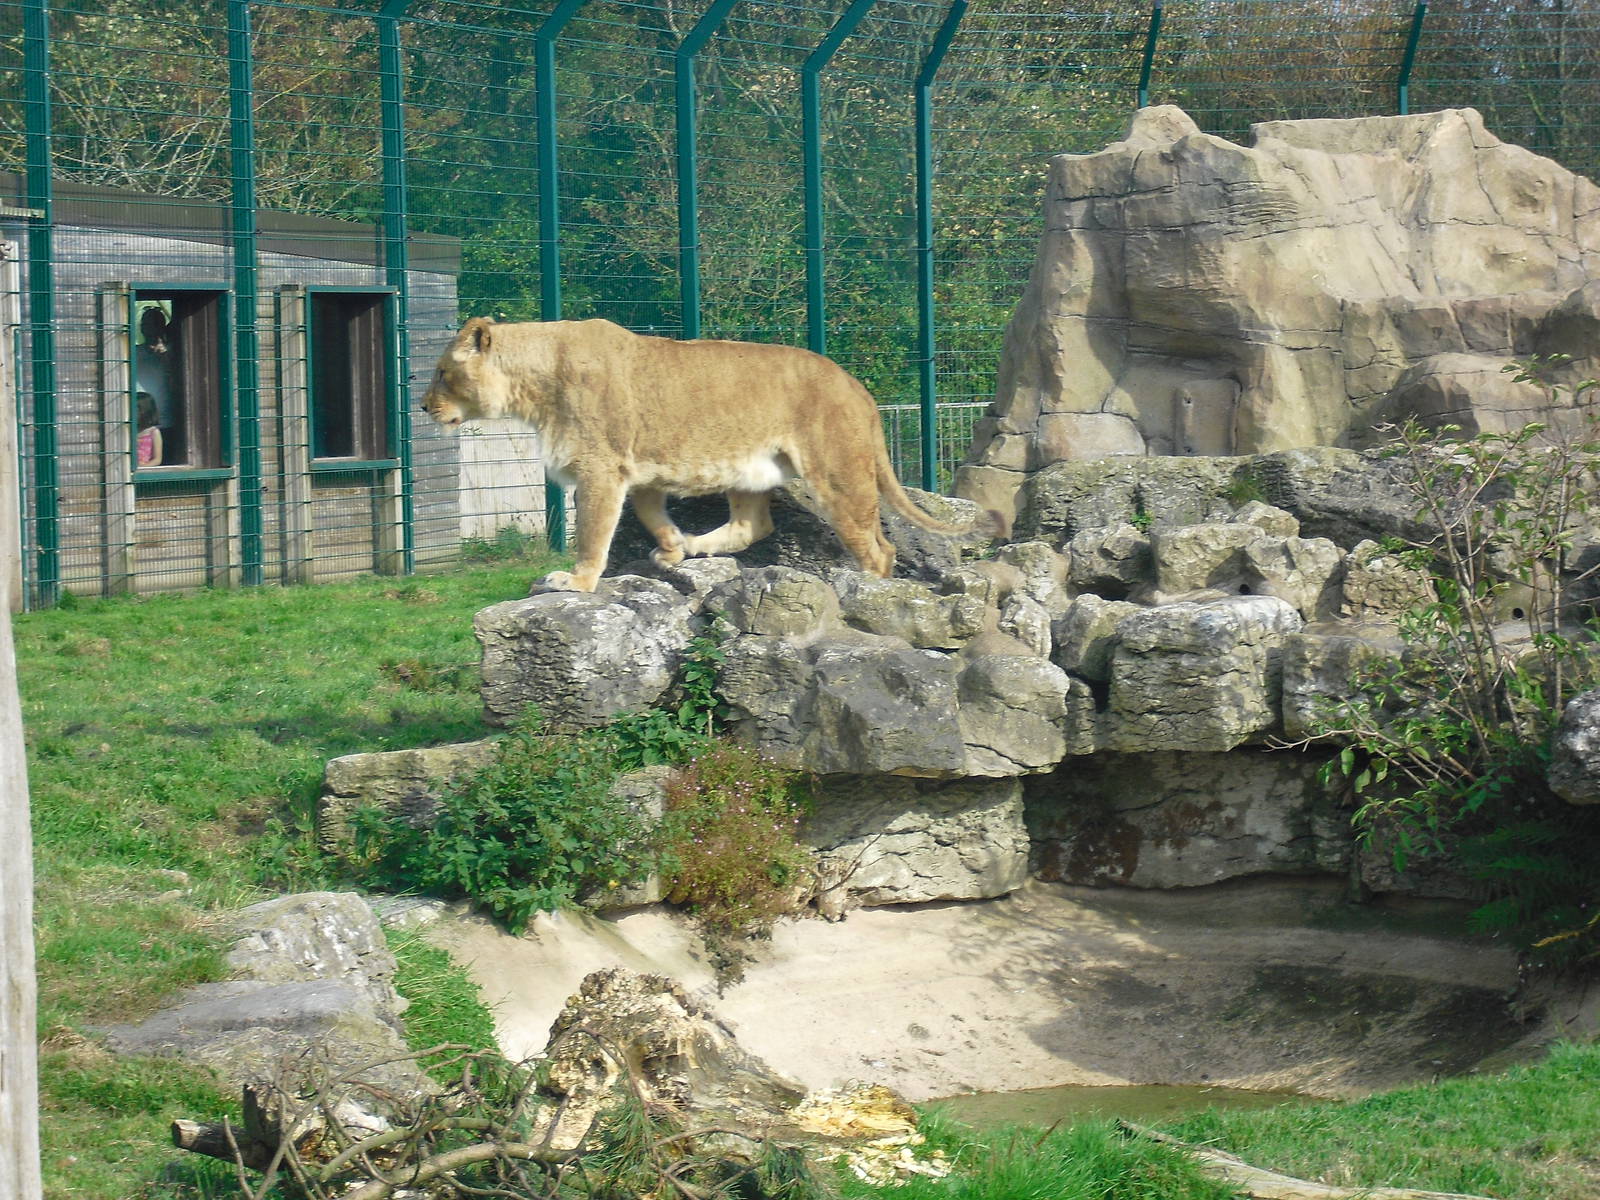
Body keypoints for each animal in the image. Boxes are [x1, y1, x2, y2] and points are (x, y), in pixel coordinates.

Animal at [421, 317, 983, 592]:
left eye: (443, 372)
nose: (425, 406)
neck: (533, 384)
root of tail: (858, 389)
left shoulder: (602, 468)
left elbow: (593, 534)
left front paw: (575, 581)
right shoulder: (637, 472)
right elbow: (650, 514)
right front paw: (671, 548)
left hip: (836, 474)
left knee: (878, 547)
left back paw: (869, 590)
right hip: (749, 471)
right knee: (754, 525)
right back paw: (694, 546)